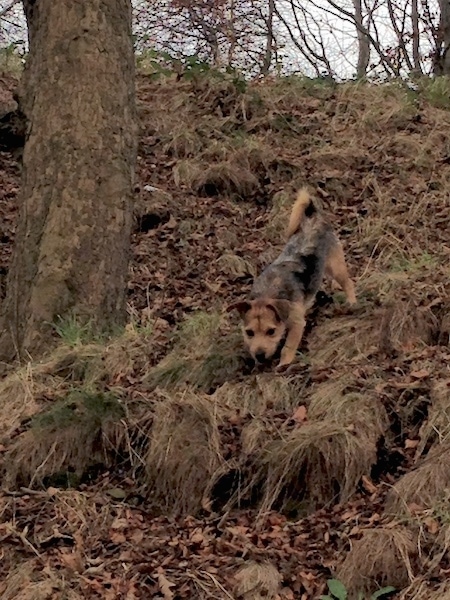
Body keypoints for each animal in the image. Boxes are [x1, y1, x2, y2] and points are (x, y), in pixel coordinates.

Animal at [227, 188, 356, 368]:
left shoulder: (297, 324)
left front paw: (284, 364)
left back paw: (352, 301)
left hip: (335, 266)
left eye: (271, 331)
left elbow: (287, 347)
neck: (269, 292)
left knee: (348, 282)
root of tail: (313, 216)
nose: (259, 356)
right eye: (249, 332)